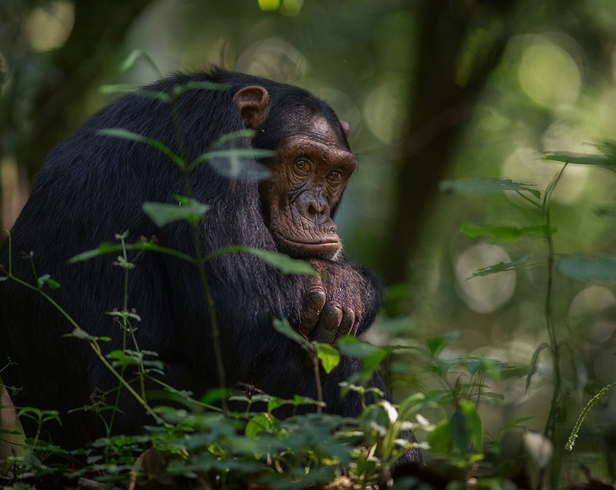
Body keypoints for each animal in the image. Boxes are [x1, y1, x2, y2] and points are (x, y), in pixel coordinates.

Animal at [0, 68, 418, 464]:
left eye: (333, 175)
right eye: (302, 163)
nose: (316, 208)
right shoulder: (207, 137)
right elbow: (240, 308)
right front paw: (344, 286)